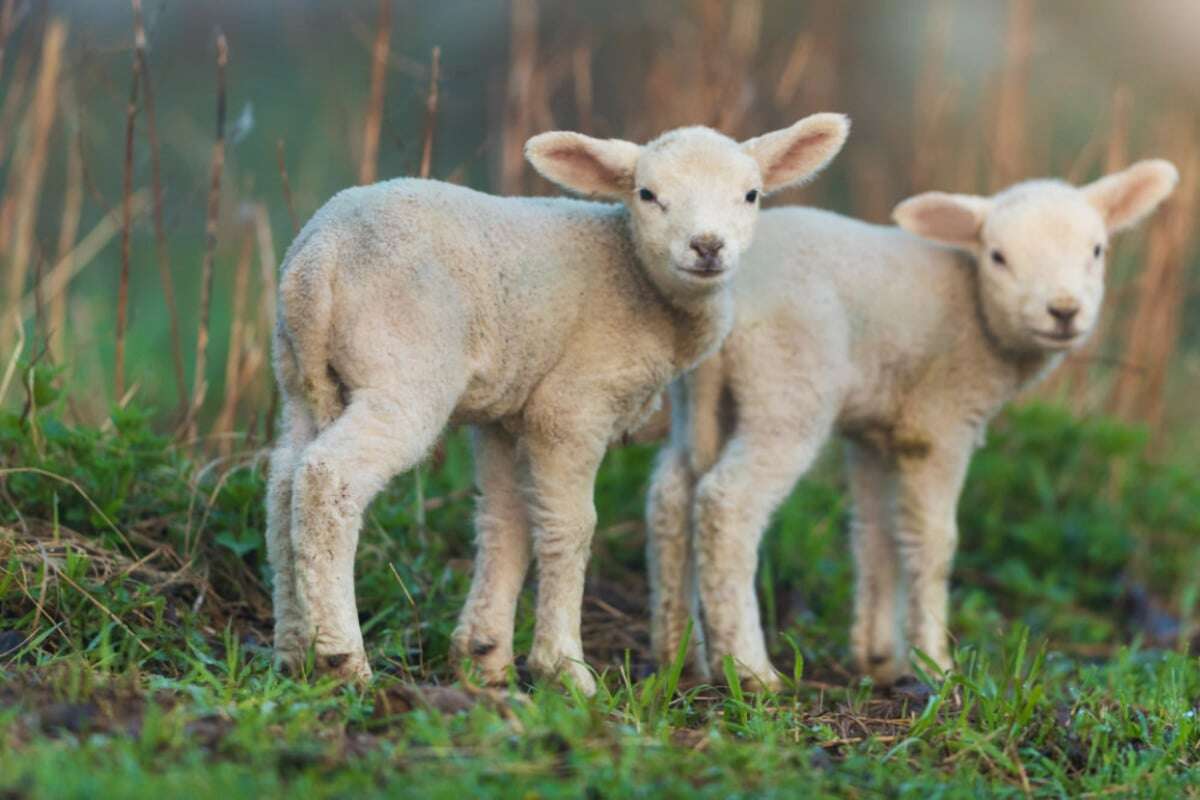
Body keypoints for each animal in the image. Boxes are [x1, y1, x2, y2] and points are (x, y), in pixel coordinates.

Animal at [266, 112, 849, 695]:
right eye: (647, 193)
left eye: (750, 194)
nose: (707, 246)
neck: (639, 280)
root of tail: (319, 260)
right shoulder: (571, 407)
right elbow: (572, 527)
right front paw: (564, 668)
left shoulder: (505, 414)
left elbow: (506, 521)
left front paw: (484, 657)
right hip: (404, 369)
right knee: (327, 477)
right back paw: (341, 657)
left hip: (298, 376)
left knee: (283, 483)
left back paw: (294, 648)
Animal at [648, 158, 1180, 690]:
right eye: (998, 257)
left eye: (1097, 250)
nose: (1064, 311)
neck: (980, 314)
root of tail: (722, 297)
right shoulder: (940, 425)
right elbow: (934, 542)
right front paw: (936, 665)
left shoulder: (875, 431)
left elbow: (876, 534)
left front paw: (879, 657)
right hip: (787, 390)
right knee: (727, 502)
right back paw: (750, 669)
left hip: (697, 396)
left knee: (672, 492)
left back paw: (678, 654)